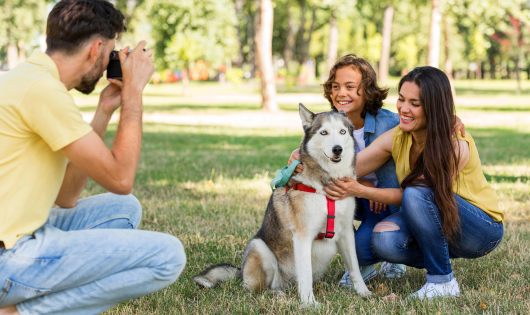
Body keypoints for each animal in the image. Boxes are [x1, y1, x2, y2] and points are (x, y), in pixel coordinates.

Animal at [192, 105, 370, 308]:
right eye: (324, 132)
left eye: (342, 132)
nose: (337, 149)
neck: (326, 185)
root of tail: (241, 272)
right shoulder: (302, 236)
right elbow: (305, 275)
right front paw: (309, 303)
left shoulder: (346, 232)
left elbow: (355, 268)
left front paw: (363, 293)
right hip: (259, 248)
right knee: (257, 290)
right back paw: (276, 294)